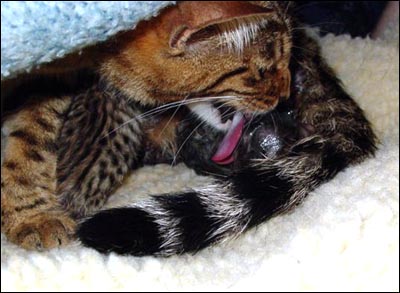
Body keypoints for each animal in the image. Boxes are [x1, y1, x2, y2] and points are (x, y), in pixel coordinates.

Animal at [0, 1, 376, 254]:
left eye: (287, 60)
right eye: (262, 71)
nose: (286, 94)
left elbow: (33, 136)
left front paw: (30, 214)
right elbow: (31, 141)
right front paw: (30, 213)